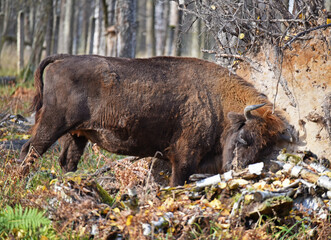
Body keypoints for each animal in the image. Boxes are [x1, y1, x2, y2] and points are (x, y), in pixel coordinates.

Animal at [20, 54, 288, 186]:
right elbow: (177, 180)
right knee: (30, 151)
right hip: (52, 124)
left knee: (67, 161)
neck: (218, 100)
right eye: (244, 138)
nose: (239, 169)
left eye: (264, 145)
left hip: (77, 134)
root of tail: (62, 59)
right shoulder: (185, 156)